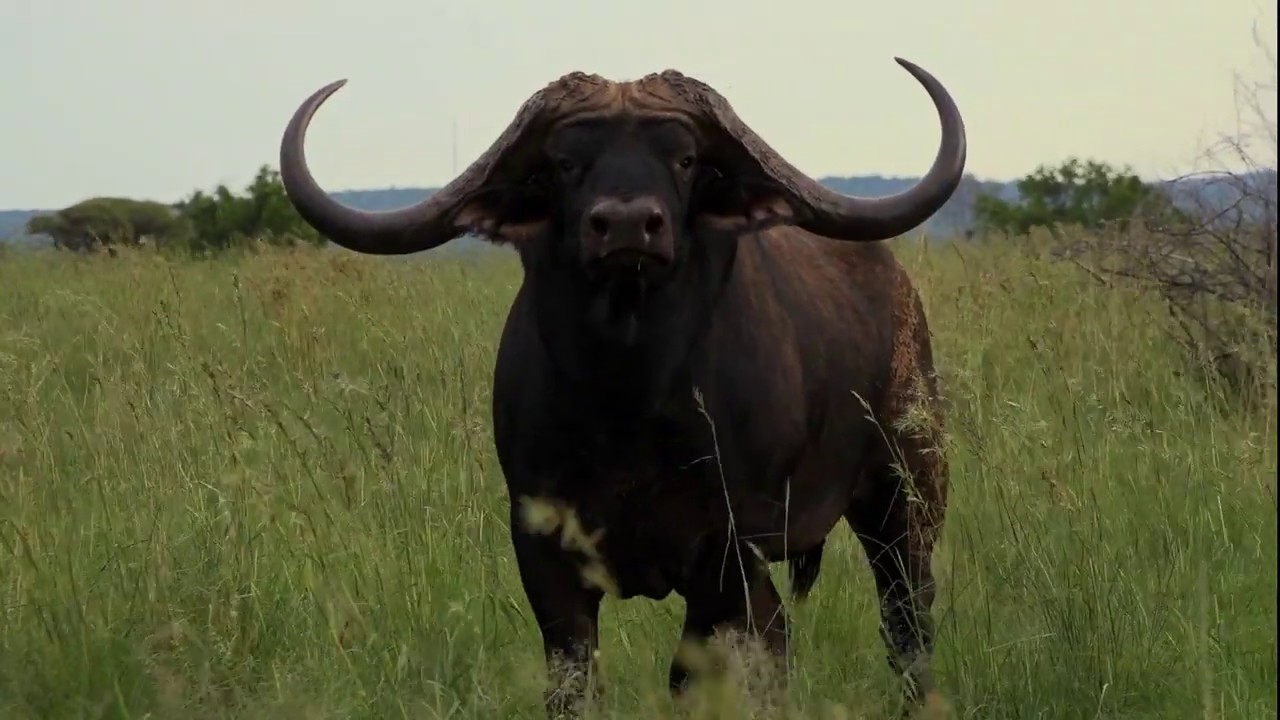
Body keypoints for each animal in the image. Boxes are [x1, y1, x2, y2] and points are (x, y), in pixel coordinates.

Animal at [279, 58, 966, 717]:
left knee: (904, 620)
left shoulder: (724, 556)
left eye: (684, 158)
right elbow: (573, 681)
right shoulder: (544, 555)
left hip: (905, 497)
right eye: (565, 162)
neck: (625, 406)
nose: (630, 226)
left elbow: (690, 678)